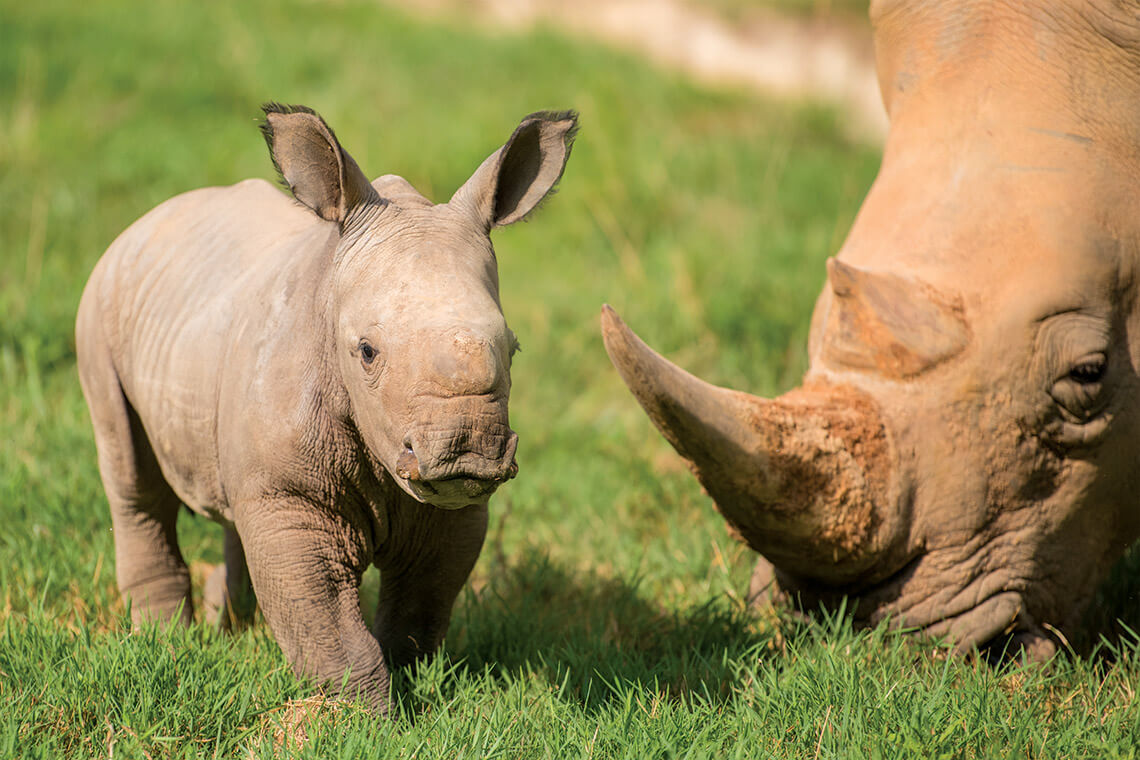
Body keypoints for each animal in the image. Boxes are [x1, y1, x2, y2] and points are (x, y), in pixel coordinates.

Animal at [76, 103, 577, 708]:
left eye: (513, 347)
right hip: (100, 302)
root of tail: (147, 221)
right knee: (132, 478)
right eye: (366, 352)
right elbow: (329, 627)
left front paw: (409, 686)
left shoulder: (452, 507)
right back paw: (164, 641)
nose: (468, 451)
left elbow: (420, 610)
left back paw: (230, 627)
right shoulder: (294, 497)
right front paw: (363, 716)